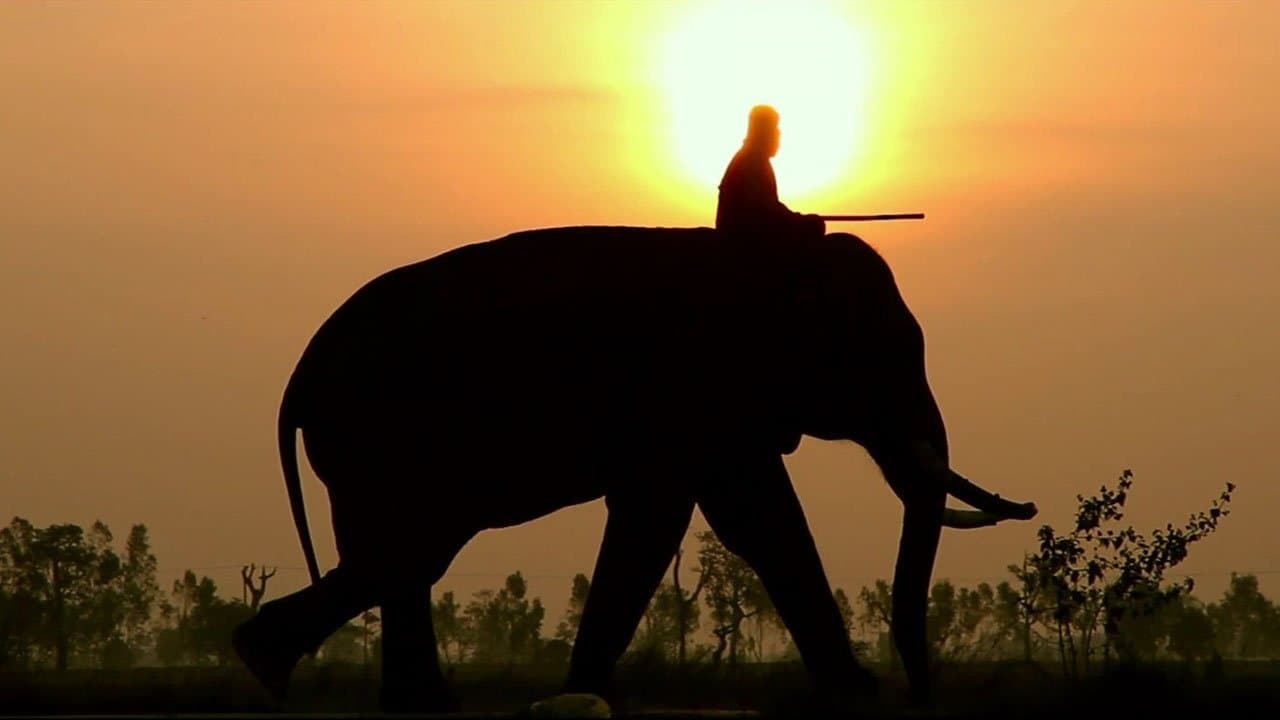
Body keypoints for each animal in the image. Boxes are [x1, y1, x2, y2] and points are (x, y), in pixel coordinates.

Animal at [231, 225, 1038, 711]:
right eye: (883, 358)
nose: (917, 696)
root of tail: (300, 375)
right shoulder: (691, 393)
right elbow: (721, 519)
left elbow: (725, 519)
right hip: (381, 437)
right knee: (406, 554)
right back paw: (280, 664)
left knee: (403, 560)